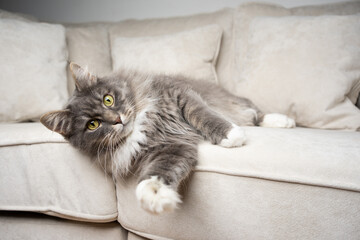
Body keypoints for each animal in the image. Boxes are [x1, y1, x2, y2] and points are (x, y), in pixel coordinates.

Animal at [40, 62, 296, 214]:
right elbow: (158, 174)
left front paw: (231, 135)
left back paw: (283, 121)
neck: (143, 125)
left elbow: (203, 115)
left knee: (255, 113)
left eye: (108, 100)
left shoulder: (180, 95)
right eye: (93, 125)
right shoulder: (169, 148)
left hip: (236, 103)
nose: (117, 119)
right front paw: (155, 195)